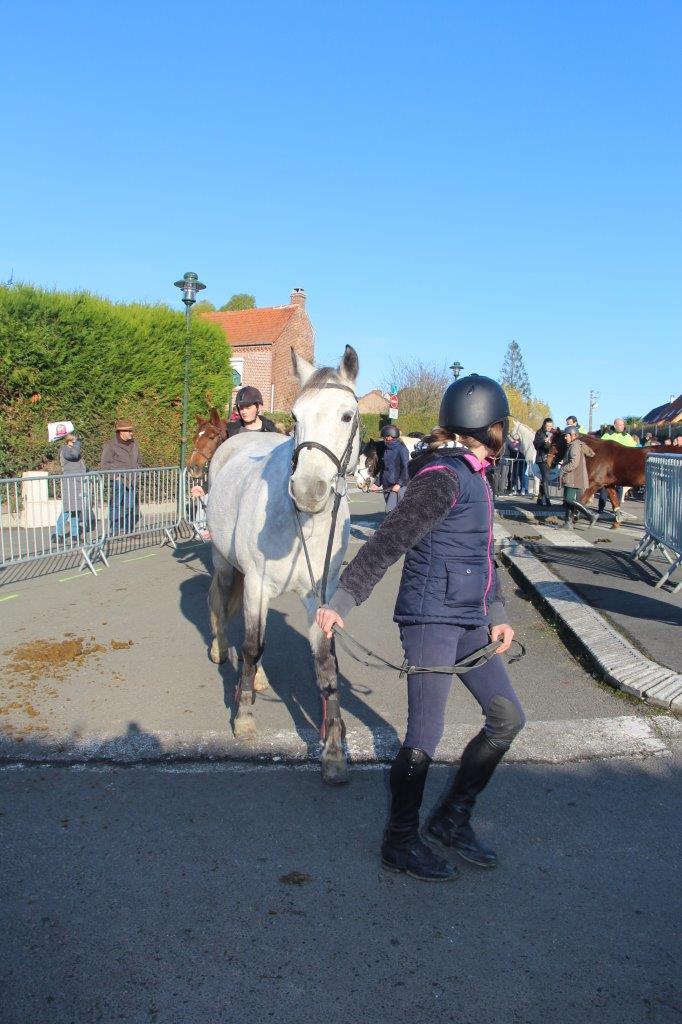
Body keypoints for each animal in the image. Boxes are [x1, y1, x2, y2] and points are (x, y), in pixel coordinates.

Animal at [204, 344, 358, 782]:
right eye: (296, 415)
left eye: (347, 415)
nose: (307, 490)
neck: (303, 524)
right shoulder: (256, 583)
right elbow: (253, 646)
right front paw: (243, 719)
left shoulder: (320, 596)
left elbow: (326, 665)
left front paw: (333, 752)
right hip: (227, 565)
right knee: (224, 609)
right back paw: (223, 652)